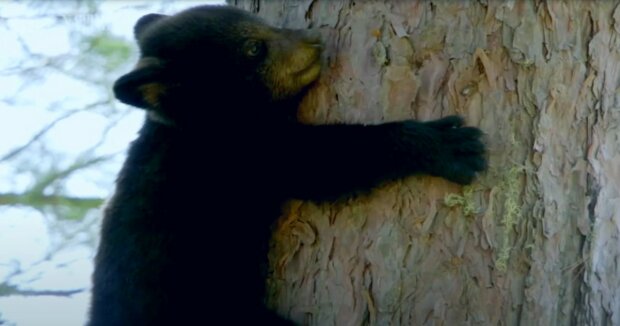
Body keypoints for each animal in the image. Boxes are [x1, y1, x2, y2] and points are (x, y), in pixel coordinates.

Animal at [88, 5, 484, 326]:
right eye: (253, 47)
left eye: (261, 21)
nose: (314, 38)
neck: (198, 126)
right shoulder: (238, 155)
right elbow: (319, 163)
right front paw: (446, 145)